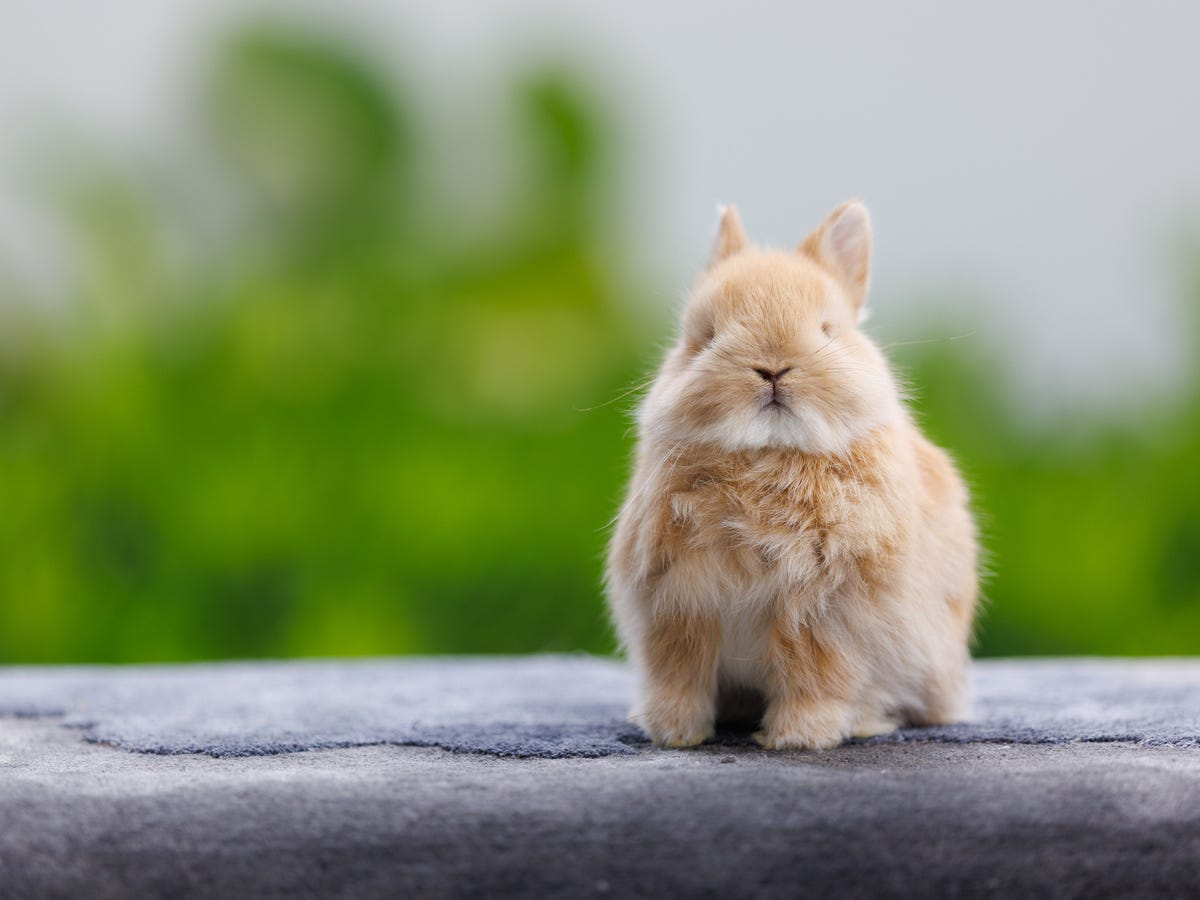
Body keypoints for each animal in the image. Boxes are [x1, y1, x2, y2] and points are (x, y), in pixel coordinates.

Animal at [605, 201, 978, 750]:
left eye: (828, 330)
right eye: (705, 336)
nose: (772, 367)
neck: (767, 453)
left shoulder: (825, 614)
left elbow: (815, 676)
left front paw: (797, 737)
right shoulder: (677, 605)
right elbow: (680, 675)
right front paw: (674, 733)